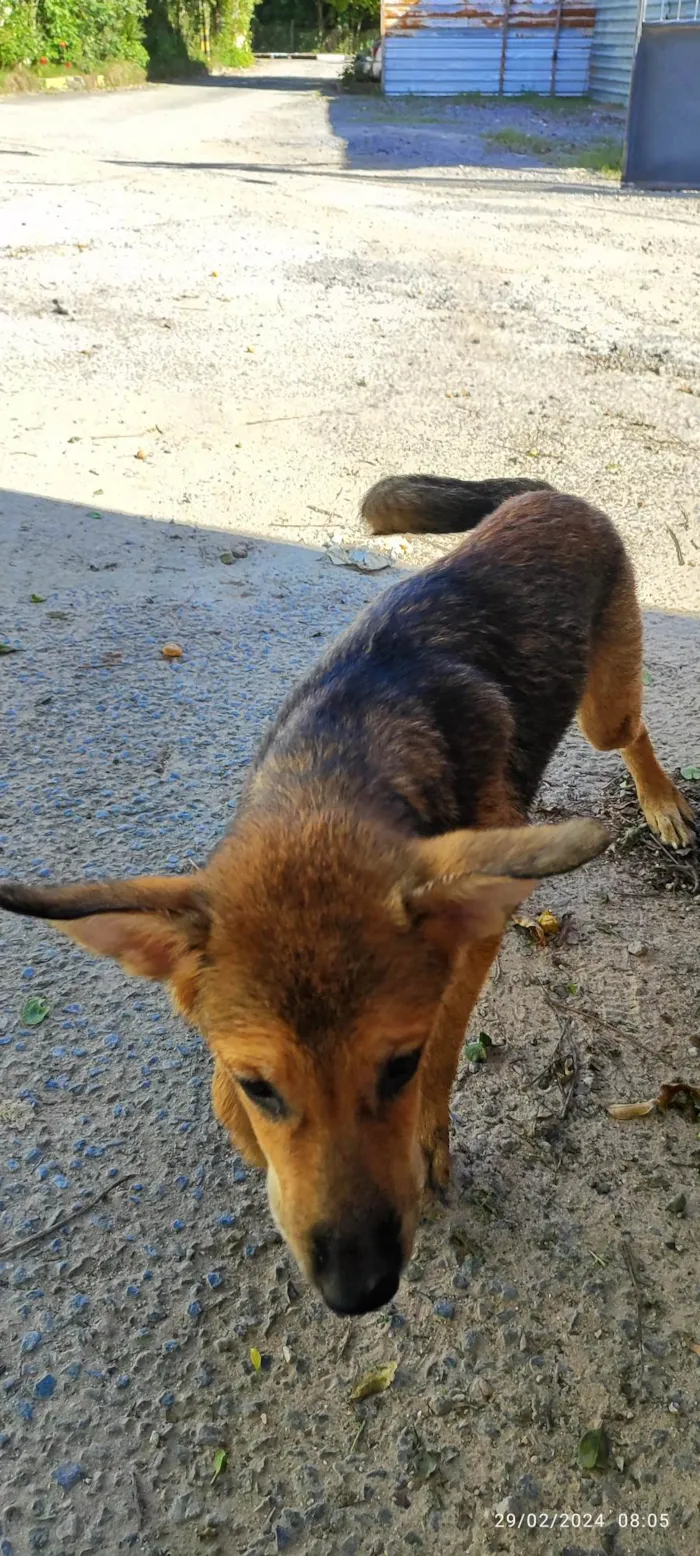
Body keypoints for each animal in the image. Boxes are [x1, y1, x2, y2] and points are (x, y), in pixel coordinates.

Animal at [0, 476, 690, 1313]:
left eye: (396, 1067)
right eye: (260, 1085)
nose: (359, 1288)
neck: (335, 772)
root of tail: (550, 494)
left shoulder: (474, 939)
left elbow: (444, 1048)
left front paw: (427, 1141)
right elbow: (225, 1101)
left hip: (602, 710)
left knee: (633, 731)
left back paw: (663, 802)